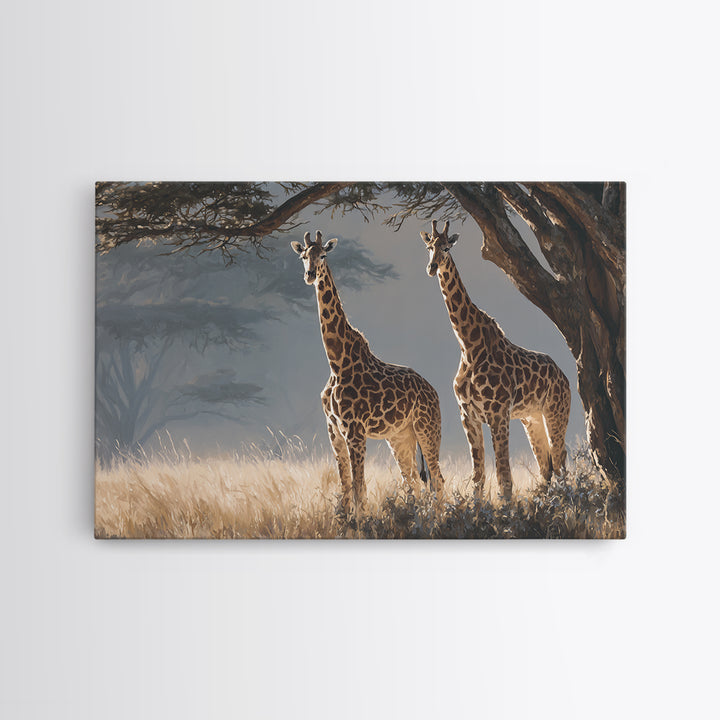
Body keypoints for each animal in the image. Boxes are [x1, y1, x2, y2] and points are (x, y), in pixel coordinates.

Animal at [291, 230, 445, 514]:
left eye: (323, 255)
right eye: (303, 256)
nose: (310, 275)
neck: (336, 362)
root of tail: (433, 391)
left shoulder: (354, 431)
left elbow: (359, 488)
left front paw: (362, 521)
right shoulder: (334, 430)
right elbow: (345, 488)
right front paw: (346, 521)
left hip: (427, 428)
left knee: (437, 479)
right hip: (399, 436)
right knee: (412, 481)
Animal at [421, 220, 571, 500]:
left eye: (447, 247)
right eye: (429, 247)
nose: (432, 267)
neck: (468, 346)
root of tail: (564, 377)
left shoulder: (498, 414)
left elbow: (503, 475)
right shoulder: (467, 415)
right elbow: (478, 476)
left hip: (556, 412)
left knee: (560, 459)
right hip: (531, 418)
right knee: (546, 464)